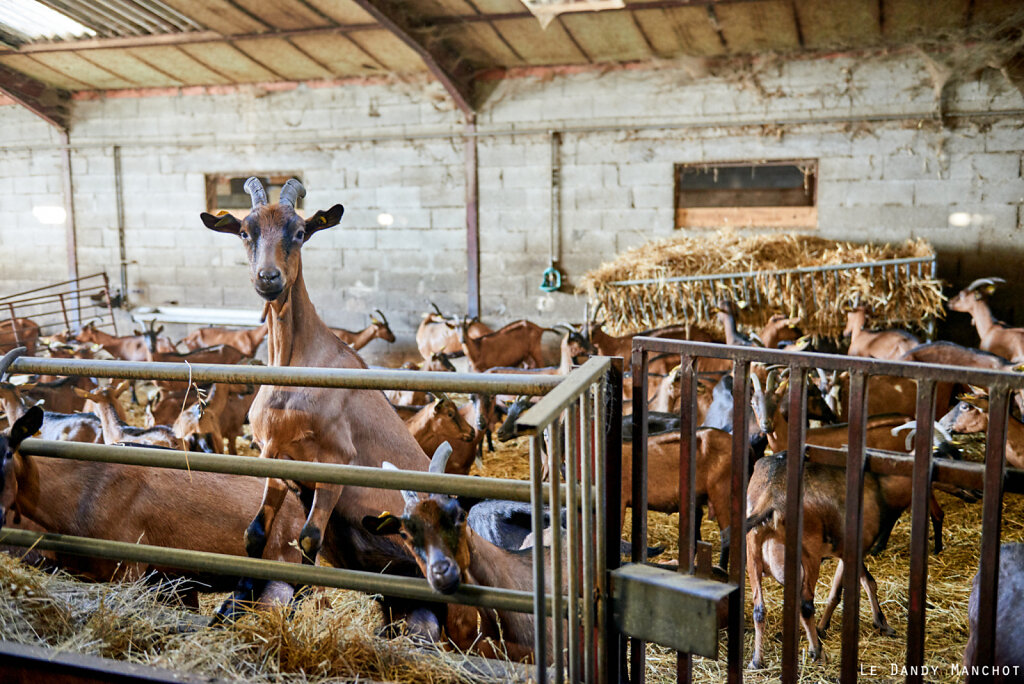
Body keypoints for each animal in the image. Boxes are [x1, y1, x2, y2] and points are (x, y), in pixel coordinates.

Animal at [201, 178, 438, 630]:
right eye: (245, 232)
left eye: (299, 232)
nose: (269, 278)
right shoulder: (274, 455)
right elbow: (254, 534)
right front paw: (231, 607)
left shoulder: (334, 461)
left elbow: (308, 539)